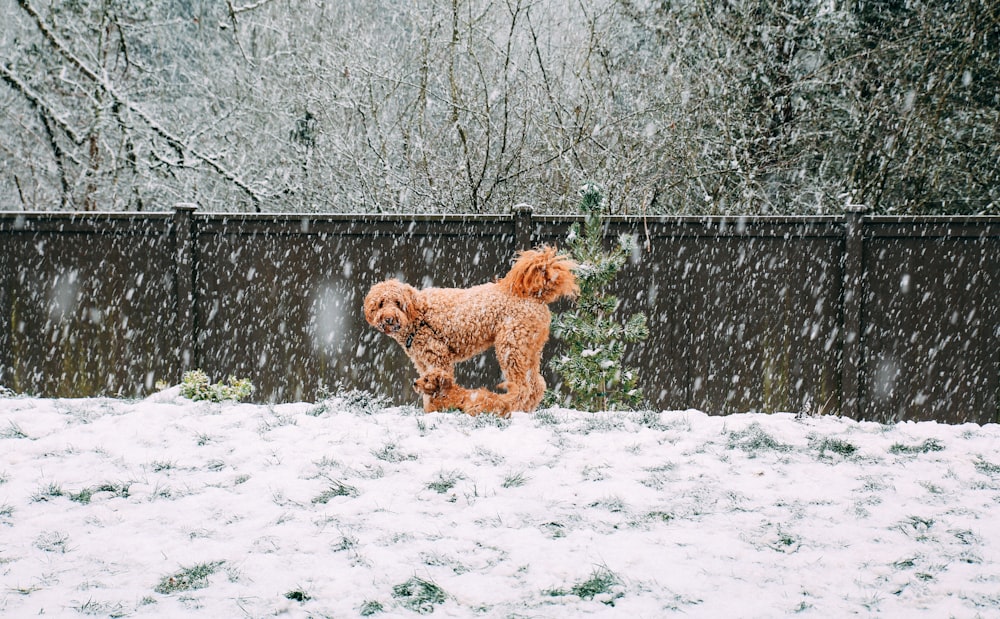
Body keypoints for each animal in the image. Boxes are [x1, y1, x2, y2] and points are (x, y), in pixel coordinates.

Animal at [364, 246, 576, 416]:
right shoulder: (422, 361)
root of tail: (534, 295)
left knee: (523, 387)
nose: (389, 318)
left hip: (511, 347)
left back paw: (511, 407)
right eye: (381, 303)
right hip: (529, 350)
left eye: (398, 303)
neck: (419, 315)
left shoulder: (437, 357)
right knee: (536, 385)